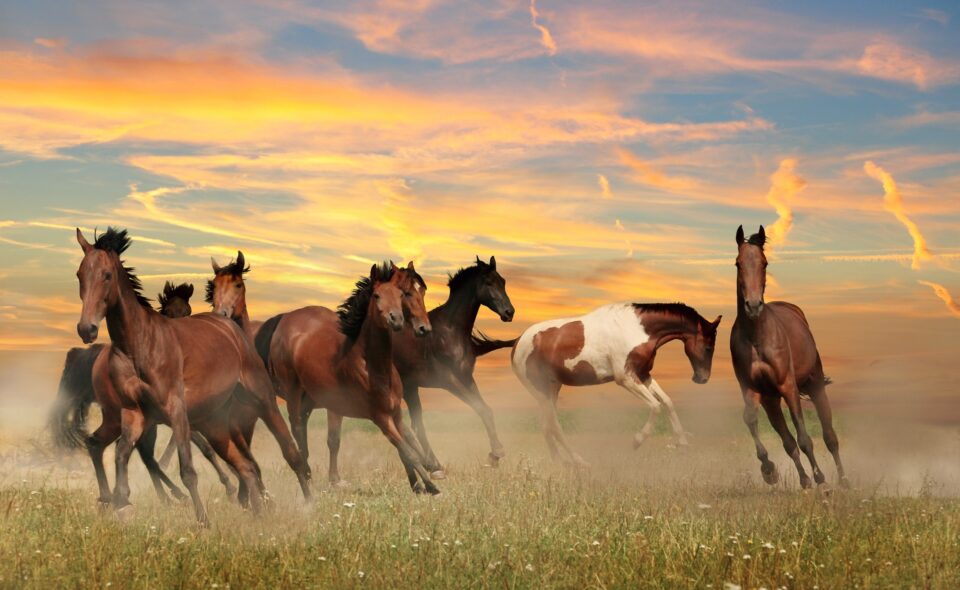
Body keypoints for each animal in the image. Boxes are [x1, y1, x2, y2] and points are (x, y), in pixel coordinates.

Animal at [72, 229, 312, 524]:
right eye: (80, 274)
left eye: (106, 275)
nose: (87, 329)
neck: (139, 345)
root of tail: (230, 328)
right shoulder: (134, 413)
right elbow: (122, 454)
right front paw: (119, 500)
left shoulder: (176, 411)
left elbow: (187, 469)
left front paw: (203, 521)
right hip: (213, 423)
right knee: (245, 466)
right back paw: (256, 514)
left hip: (262, 401)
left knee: (289, 452)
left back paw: (308, 505)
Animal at [251, 264, 438, 494]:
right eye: (376, 296)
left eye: (401, 294)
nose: (423, 328)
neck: (373, 366)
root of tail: (283, 323)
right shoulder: (379, 417)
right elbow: (407, 449)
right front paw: (429, 484)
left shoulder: (394, 413)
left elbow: (407, 445)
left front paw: (421, 481)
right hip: (292, 393)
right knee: (296, 427)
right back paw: (305, 475)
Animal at [392, 256, 516, 478]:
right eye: (489, 282)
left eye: (503, 281)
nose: (509, 312)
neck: (450, 331)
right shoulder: (447, 380)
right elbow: (480, 408)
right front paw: (496, 454)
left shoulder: (467, 377)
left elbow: (486, 409)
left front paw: (494, 455)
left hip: (411, 388)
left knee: (414, 424)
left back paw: (433, 465)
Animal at [510, 302, 720, 464]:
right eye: (708, 347)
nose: (701, 378)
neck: (637, 329)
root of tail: (518, 342)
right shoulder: (625, 378)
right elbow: (655, 406)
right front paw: (637, 441)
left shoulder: (643, 375)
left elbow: (667, 402)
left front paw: (683, 444)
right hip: (542, 392)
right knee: (554, 426)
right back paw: (578, 462)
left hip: (552, 389)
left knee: (546, 427)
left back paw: (560, 463)